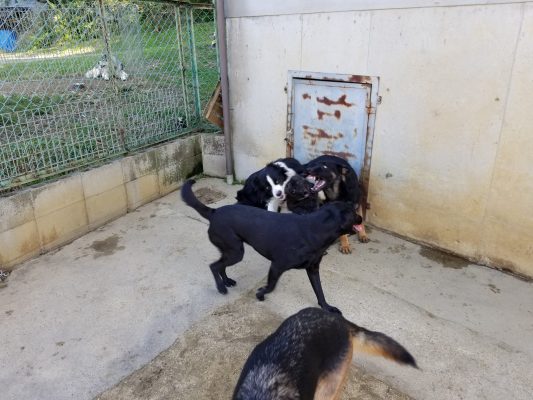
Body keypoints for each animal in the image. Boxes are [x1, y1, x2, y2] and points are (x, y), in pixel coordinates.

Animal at [181, 179, 363, 314]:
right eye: (354, 213)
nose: (361, 217)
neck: (316, 229)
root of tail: (214, 212)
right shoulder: (277, 266)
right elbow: (270, 287)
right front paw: (260, 294)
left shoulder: (313, 269)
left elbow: (320, 291)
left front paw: (327, 307)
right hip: (236, 252)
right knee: (214, 266)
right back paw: (221, 287)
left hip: (231, 251)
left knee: (220, 266)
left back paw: (226, 281)